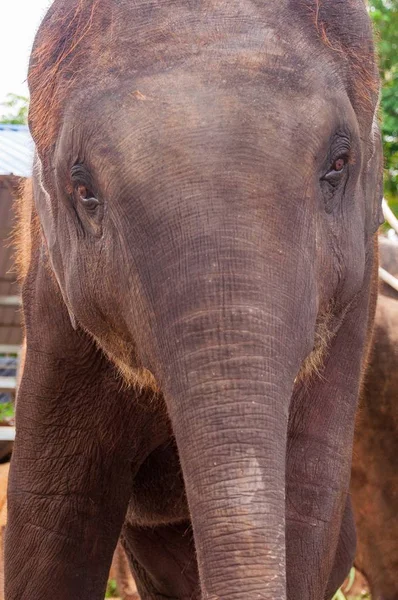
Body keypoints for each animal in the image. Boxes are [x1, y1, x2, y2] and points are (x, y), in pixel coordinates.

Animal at [3, 1, 382, 600]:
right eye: (84, 192)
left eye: (339, 164)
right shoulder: (52, 306)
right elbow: (56, 518)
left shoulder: (356, 301)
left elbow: (305, 493)